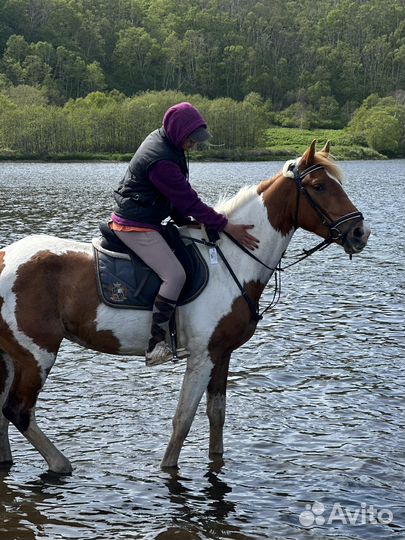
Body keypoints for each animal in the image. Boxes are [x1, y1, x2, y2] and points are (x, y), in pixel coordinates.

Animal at [0, 141, 368, 474]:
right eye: (319, 186)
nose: (359, 232)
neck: (231, 258)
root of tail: (5, 257)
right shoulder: (203, 355)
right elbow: (183, 419)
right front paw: (167, 468)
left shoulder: (222, 353)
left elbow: (216, 414)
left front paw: (216, 461)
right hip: (36, 354)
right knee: (18, 411)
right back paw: (61, 464)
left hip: (12, 356)